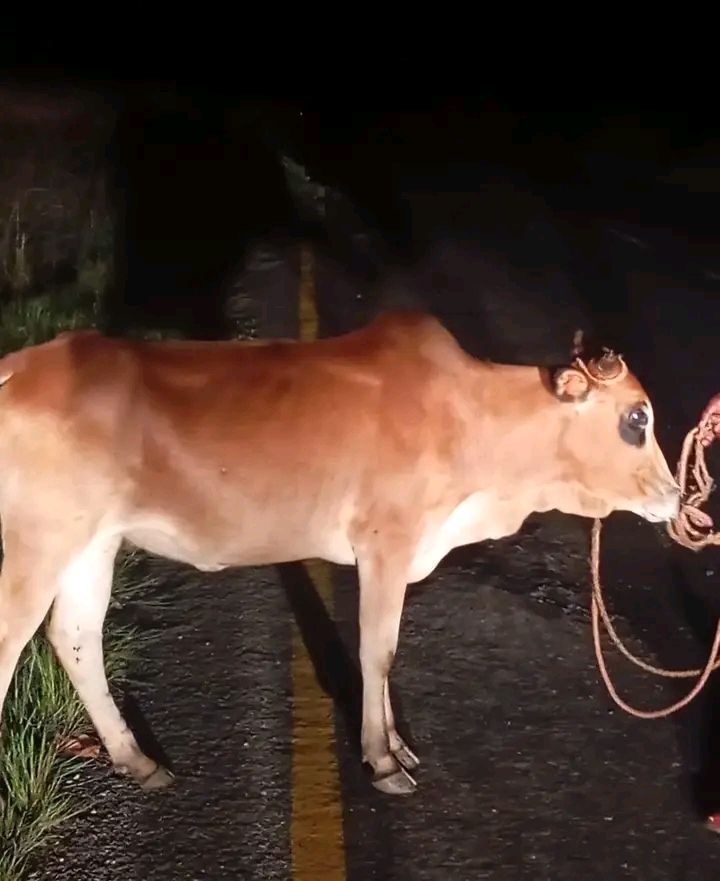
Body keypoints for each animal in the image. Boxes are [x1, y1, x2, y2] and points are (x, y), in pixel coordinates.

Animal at [0, 309, 680, 796]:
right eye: (636, 418)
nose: (675, 497)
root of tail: (20, 365)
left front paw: (396, 748)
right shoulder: (386, 544)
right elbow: (378, 652)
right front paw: (382, 760)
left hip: (91, 544)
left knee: (76, 637)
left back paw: (138, 761)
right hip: (36, 547)